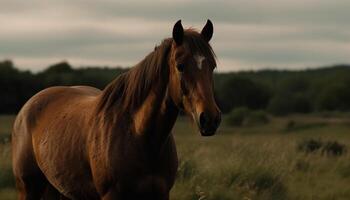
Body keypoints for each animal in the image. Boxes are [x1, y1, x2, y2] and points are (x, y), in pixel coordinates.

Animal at [13, 19, 221, 200]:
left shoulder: (161, 194)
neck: (138, 135)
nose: (210, 119)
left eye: (212, 66)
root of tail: (28, 106)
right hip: (29, 189)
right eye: (180, 66)